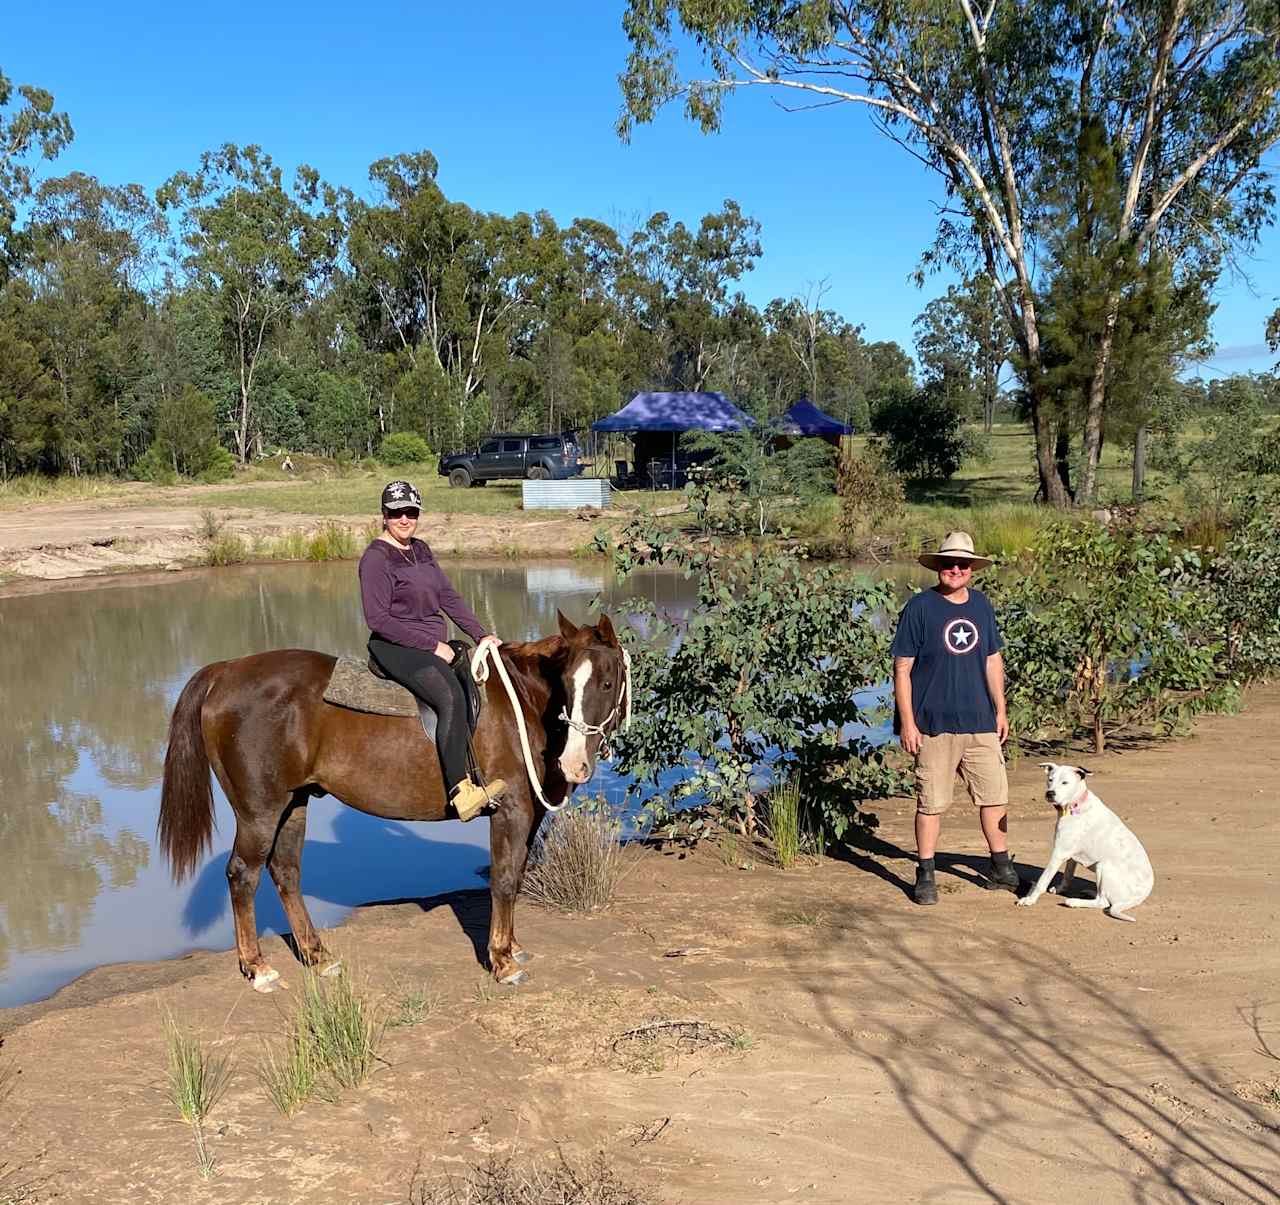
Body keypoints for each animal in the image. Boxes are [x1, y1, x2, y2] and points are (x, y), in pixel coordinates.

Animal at [157, 612, 627, 988]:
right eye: (566, 683)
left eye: (606, 683)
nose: (574, 764)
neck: (521, 704)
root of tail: (226, 671)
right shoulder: (511, 812)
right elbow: (505, 880)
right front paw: (502, 960)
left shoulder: (530, 817)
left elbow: (519, 872)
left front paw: (512, 947)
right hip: (260, 810)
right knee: (243, 875)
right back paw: (257, 968)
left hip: (293, 804)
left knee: (286, 872)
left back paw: (318, 956)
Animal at [1013, 763, 1157, 921]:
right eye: (1050, 779)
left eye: (1065, 783)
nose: (1050, 793)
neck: (1075, 805)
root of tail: (1140, 897)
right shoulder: (1071, 856)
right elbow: (1067, 876)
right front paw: (1060, 889)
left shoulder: (1058, 853)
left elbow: (1042, 880)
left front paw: (1029, 899)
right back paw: (1090, 892)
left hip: (1103, 866)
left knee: (1103, 902)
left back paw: (1074, 902)